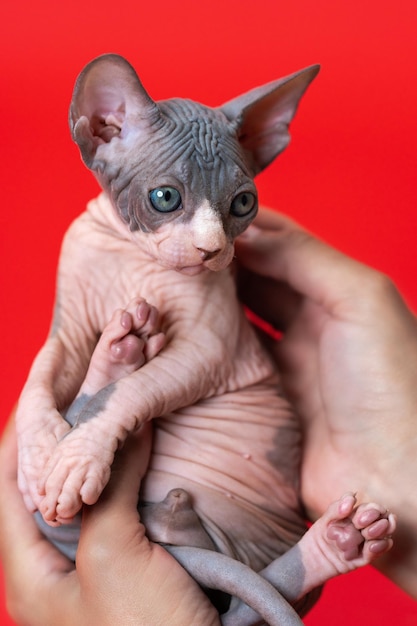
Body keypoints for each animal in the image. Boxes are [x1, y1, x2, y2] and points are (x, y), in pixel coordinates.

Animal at [15, 56, 394, 620]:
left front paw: (74, 461)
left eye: (243, 203)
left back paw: (339, 541)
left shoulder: (211, 350)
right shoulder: (69, 326)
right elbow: (38, 382)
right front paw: (37, 455)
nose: (212, 250)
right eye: (165, 198)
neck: (135, 261)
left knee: (262, 591)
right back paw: (121, 350)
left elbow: (129, 393)